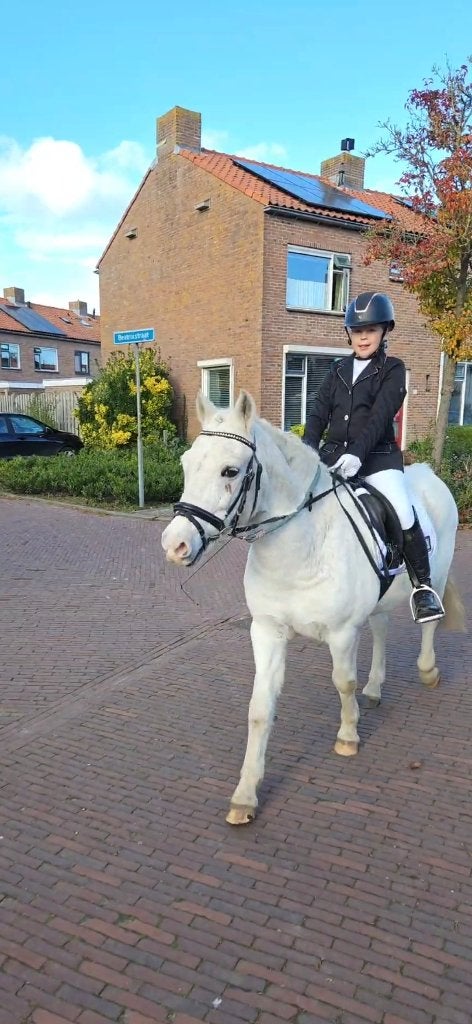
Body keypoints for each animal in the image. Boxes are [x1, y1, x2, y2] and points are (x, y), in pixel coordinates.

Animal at [162, 391, 465, 825]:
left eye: (230, 470)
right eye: (186, 464)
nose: (175, 544)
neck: (297, 547)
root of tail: (428, 473)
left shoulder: (342, 632)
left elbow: (343, 682)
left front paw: (348, 736)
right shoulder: (266, 631)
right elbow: (260, 707)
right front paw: (246, 794)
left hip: (435, 575)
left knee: (427, 623)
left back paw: (427, 671)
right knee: (382, 628)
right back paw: (375, 688)